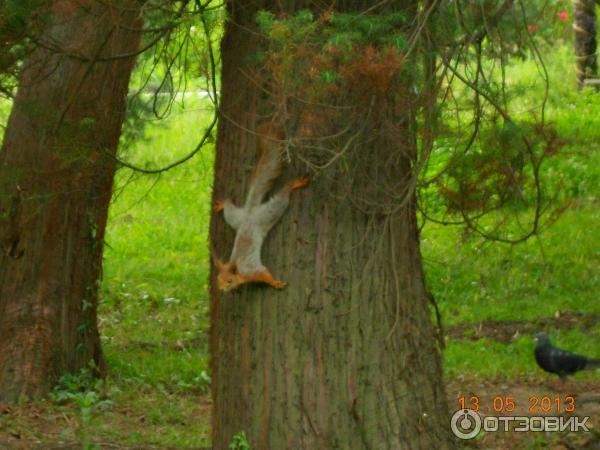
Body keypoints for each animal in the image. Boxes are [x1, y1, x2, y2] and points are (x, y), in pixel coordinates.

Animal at [214, 125, 310, 292]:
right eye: (218, 279)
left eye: (229, 281)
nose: (221, 289)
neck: (239, 271)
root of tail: (249, 211)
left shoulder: (251, 269)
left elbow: (264, 273)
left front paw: (275, 282)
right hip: (234, 218)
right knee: (228, 208)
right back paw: (222, 205)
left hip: (268, 213)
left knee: (282, 196)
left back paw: (294, 184)